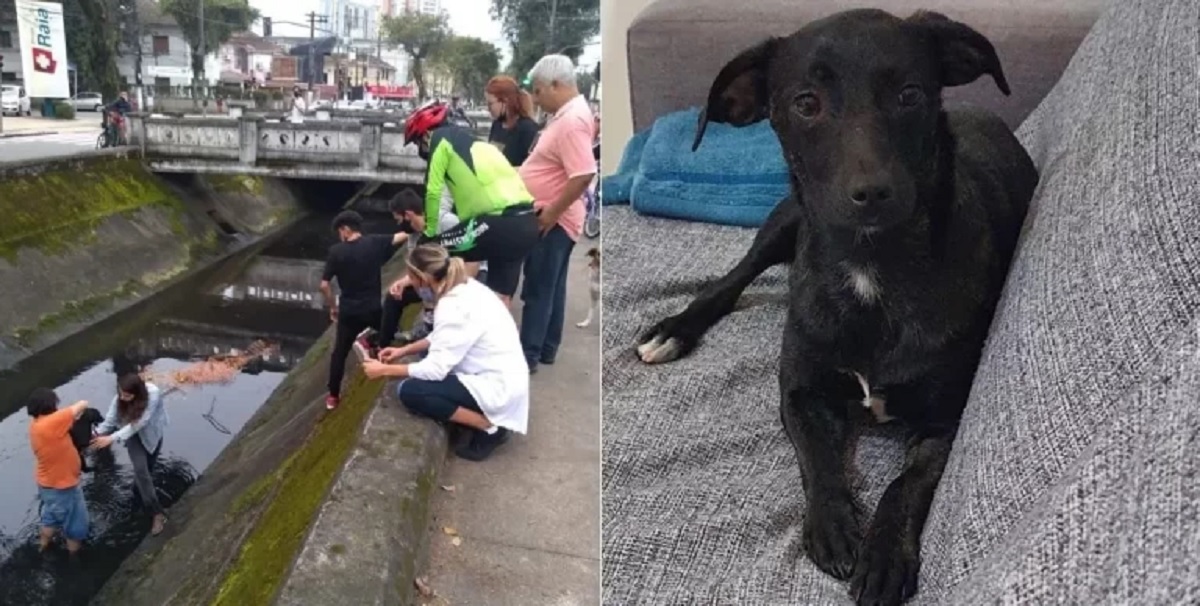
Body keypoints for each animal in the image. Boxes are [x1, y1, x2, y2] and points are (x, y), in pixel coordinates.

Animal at [638, 9, 1041, 604]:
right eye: (806, 103)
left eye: (909, 94)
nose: (871, 192)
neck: (869, 268)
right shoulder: (800, 391)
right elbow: (818, 460)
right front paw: (832, 524)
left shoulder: (946, 420)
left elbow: (907, 483)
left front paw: (883, 554)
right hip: (786, 219)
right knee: (735, 277)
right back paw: (674, 329)